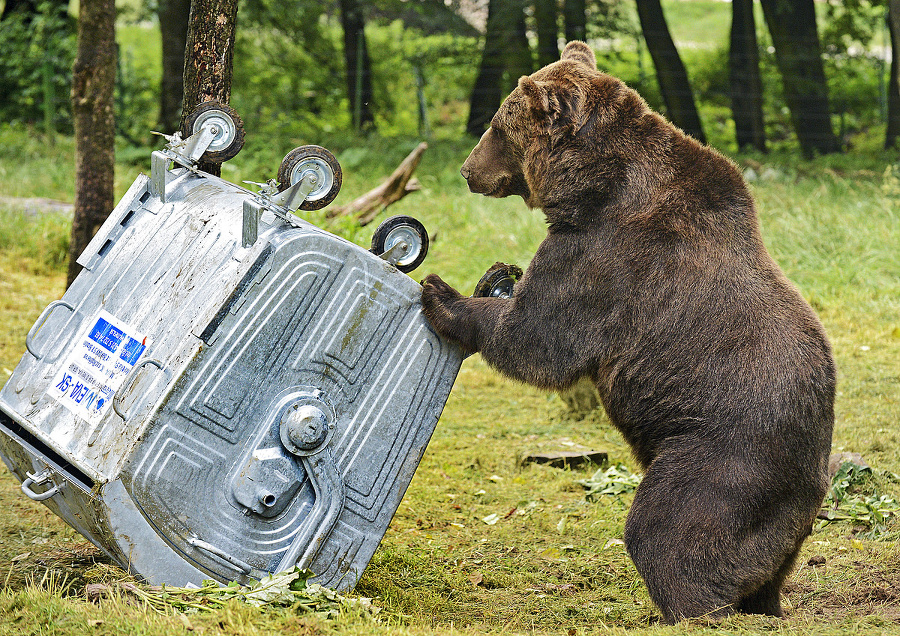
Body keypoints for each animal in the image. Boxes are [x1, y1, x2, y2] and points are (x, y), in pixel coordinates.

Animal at [424, 42, 836, 624]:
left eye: (497, 126)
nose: (466, 171)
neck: (592, 186)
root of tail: (813, 485)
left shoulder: (604, 255)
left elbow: (538, 339)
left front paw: (444, 294)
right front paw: (495, 276)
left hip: (722, 455)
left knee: (667, 528)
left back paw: (687, 606)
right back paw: (761, 603)